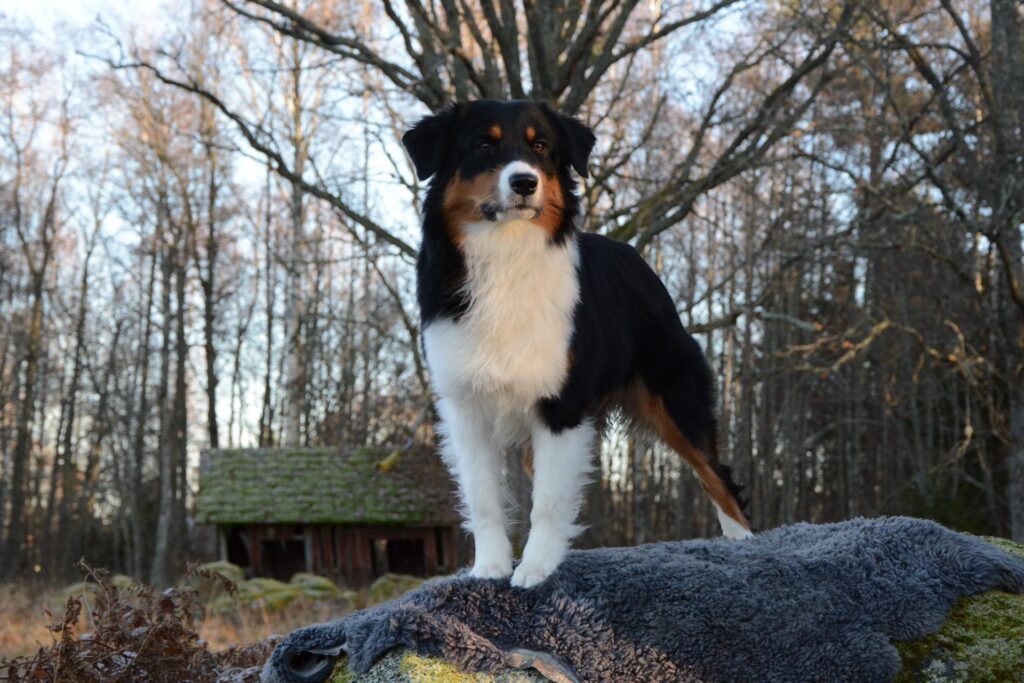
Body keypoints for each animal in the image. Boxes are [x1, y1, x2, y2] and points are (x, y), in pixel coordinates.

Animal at [401, 98, 753, 589]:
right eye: (483, 145)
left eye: (541, 146)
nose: (525, 182)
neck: (505, 253)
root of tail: (636, 257)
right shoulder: (466, 405)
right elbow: (485, 495)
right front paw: (490, 567)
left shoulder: (561, 406)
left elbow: (549, 501)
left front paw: (535, 569)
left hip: (677, 399)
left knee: (717, 473)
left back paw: (745, 543)